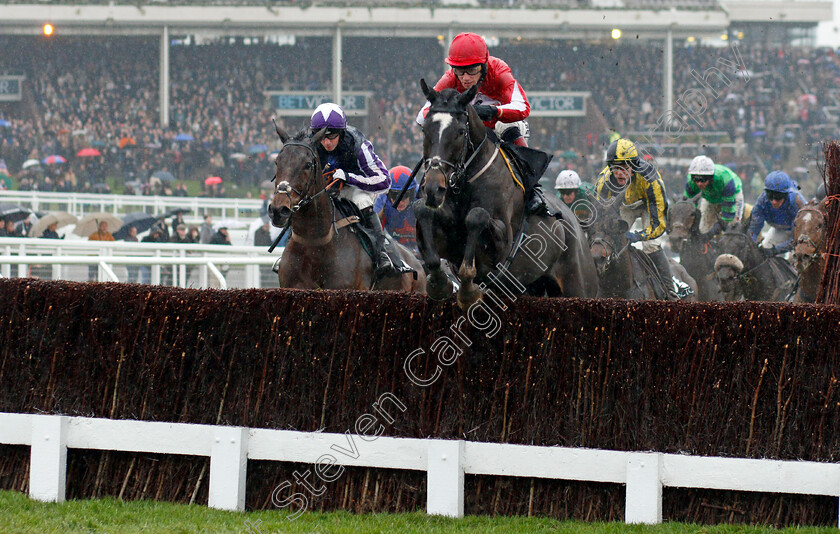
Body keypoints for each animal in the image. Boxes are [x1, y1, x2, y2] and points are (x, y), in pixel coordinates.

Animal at [270, 126, 426, 294]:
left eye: (307, 164)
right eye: (277, 162)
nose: (278, 210)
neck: (314, 243)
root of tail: (415, 262)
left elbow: (381, 176)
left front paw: (341, 175)